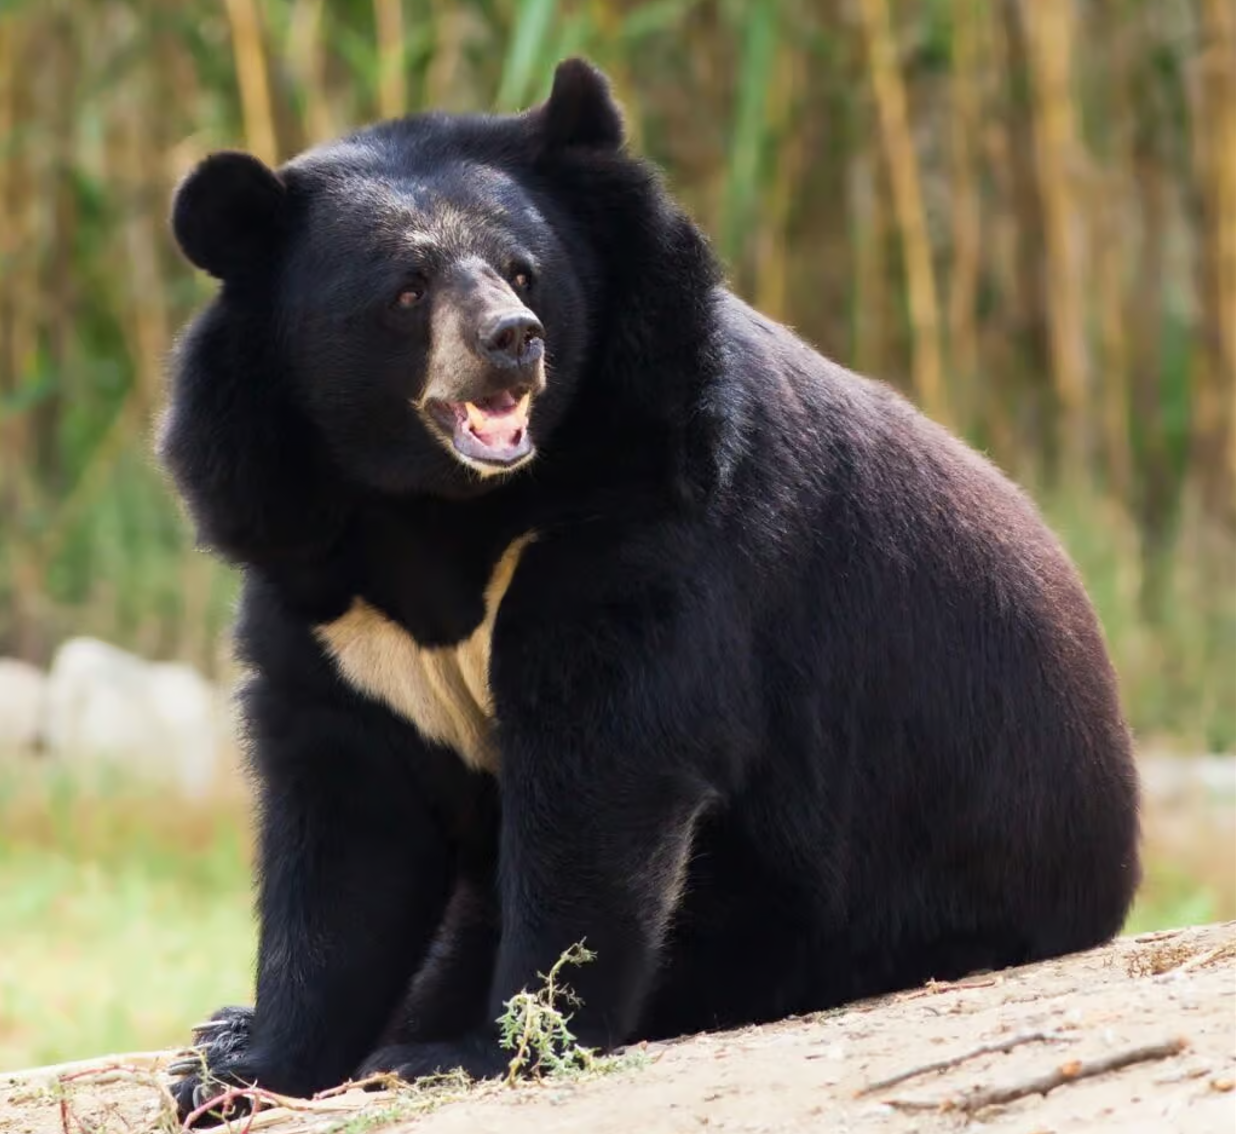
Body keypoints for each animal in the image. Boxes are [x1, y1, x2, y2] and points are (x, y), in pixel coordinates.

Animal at [159, 58, 1141, 1119]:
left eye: (522, 271)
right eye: (407, 290)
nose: (513, 339)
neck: (439, 508)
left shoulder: (649, 526)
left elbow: (604, 775)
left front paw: (479, 1048)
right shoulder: (322, 589)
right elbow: (348, 827)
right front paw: (241, 1070)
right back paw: (223, 1027)